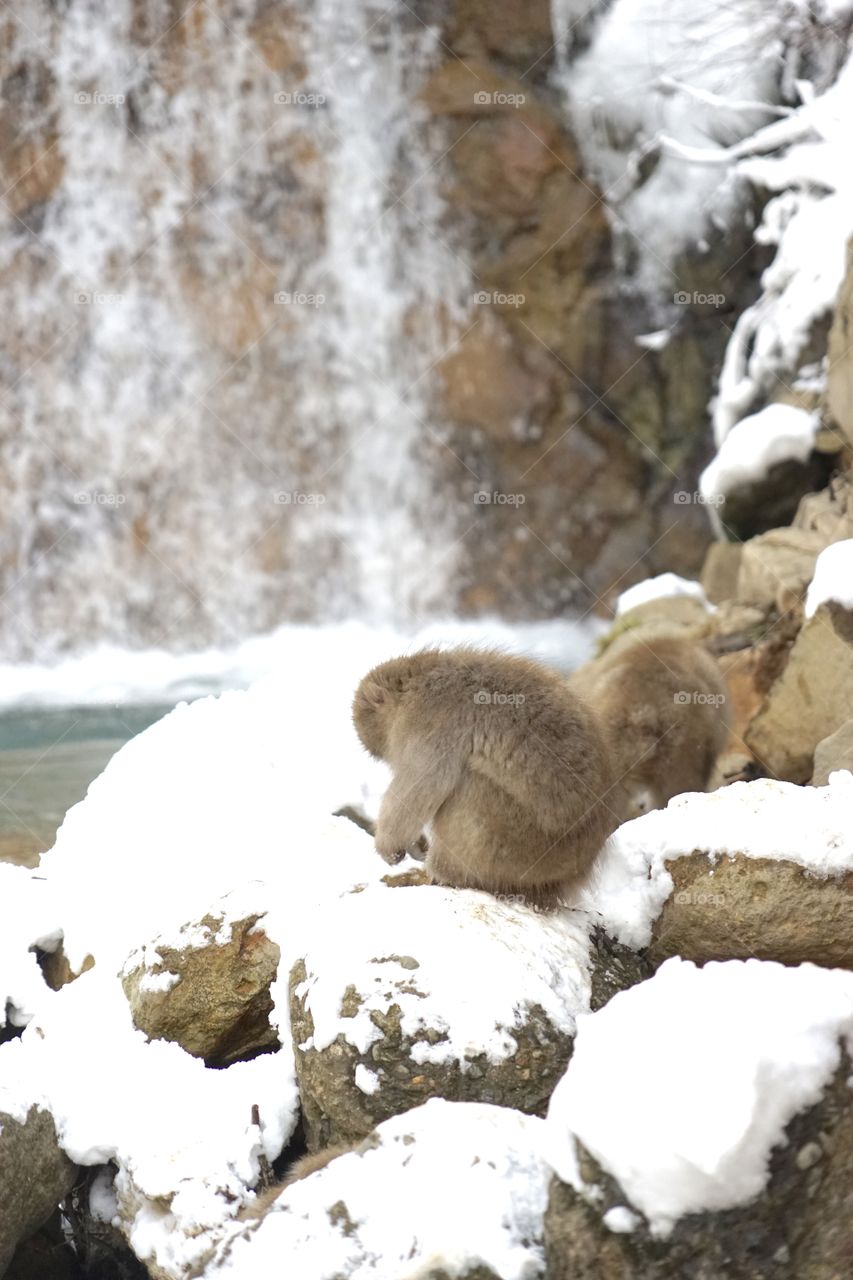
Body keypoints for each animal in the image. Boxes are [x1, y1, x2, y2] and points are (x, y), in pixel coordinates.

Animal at [352, 648, 618, 908]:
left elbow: (423, 784)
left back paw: (439, 873)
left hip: (521, 845)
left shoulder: (430, 721)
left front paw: (388, 847)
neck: (415, 683)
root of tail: (570, 875)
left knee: (471, 786)